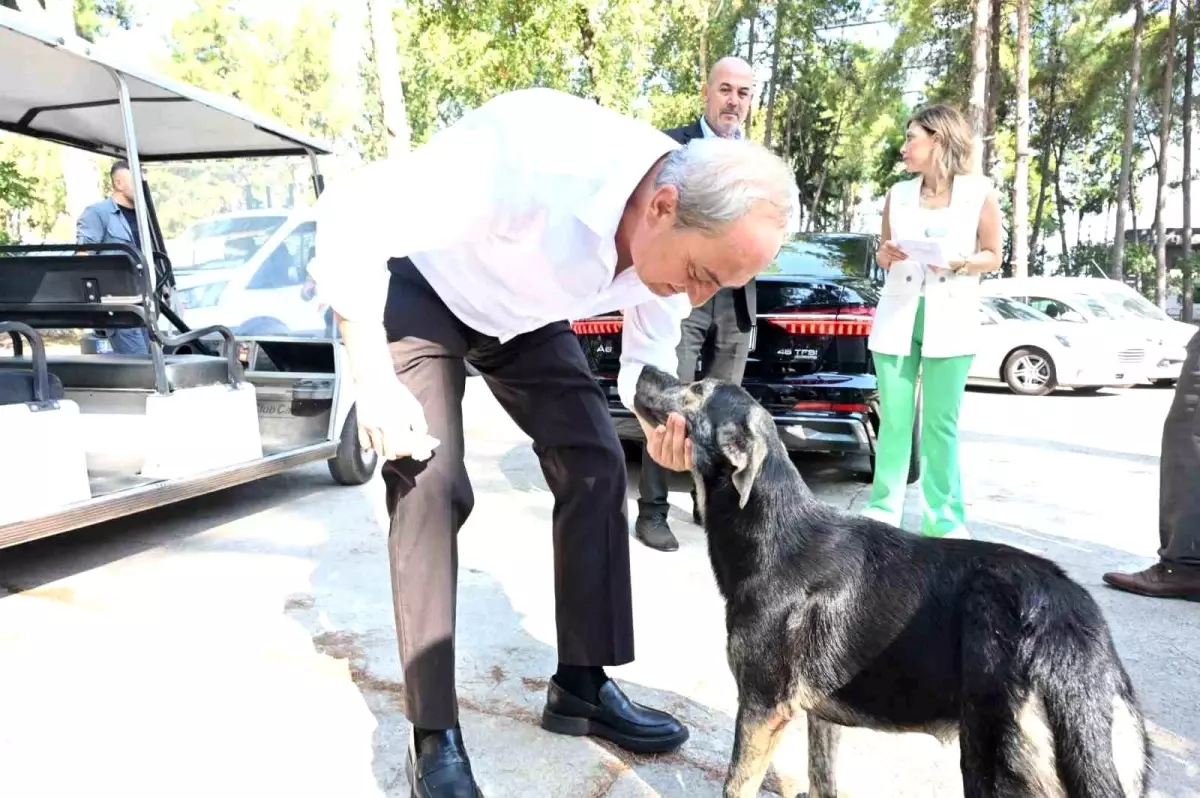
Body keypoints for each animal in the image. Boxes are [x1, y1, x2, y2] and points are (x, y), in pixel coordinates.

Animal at [638, 367, 1152, 796]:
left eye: (697, 388)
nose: (641, 368)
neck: (773, 535)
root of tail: (1069, 633)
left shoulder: (763, 708)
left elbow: (736, 785)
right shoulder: (818, 716)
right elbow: (821, 781)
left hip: (992, 761)